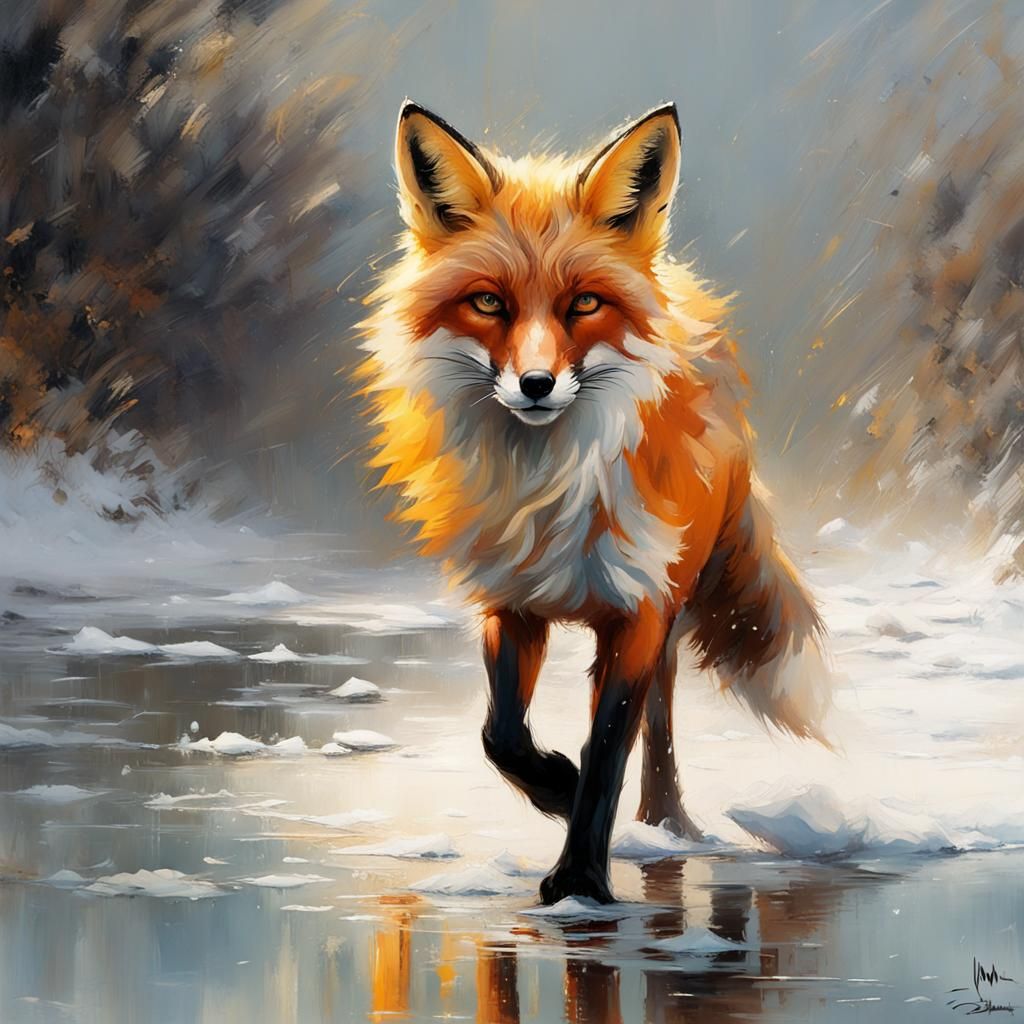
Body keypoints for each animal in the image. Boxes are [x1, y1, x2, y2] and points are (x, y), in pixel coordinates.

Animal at [359, 100, 830, 905]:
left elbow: (610, 744)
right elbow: (502, 737)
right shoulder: (511, 601)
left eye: (584, 303)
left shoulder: (638, 607)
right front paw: (556, 786)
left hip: (669, 601)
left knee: (659, 730)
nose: (537, 385)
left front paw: (581, 877)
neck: (549, 493)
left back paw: (665, 828)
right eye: (488, 302)